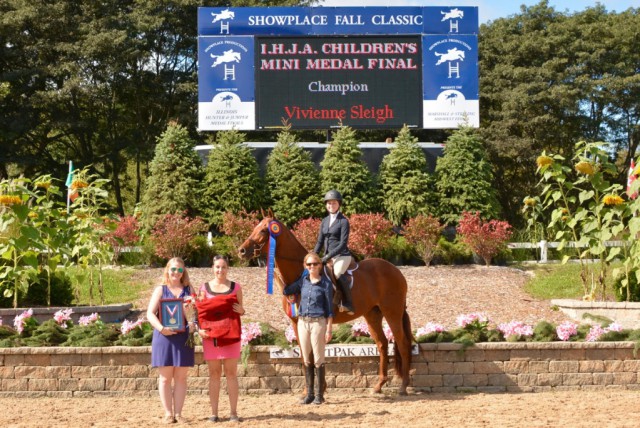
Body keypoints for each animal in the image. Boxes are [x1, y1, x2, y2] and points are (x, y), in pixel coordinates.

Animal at [238, 217, 412, 394]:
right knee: (382, 344)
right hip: (372, 315)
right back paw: (379, 385)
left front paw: (319, 388)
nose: (241, 251)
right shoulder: (297, 323)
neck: (301, 277)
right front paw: (309, 390)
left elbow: (314, 353)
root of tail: (395, 270)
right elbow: (305, 355)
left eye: (263, 230)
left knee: (403, 343)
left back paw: (403, 386)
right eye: (255, 227)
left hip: (392, 312)